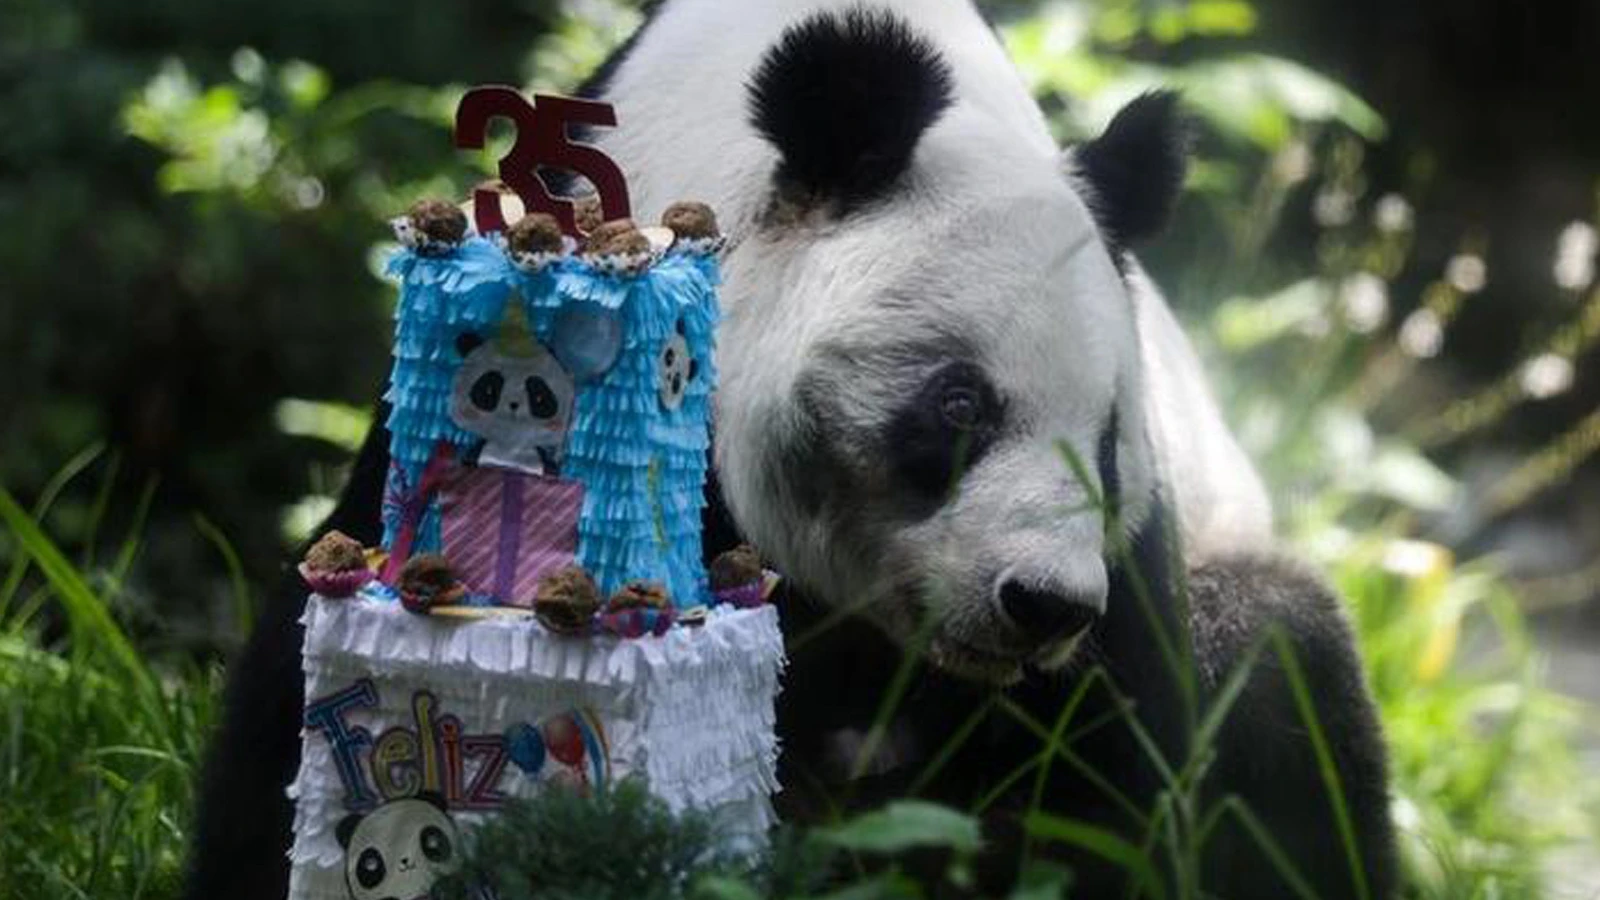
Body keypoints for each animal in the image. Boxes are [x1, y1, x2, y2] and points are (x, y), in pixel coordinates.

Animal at [184, 3, 1396, 899]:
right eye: (960, 407)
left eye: (1103, 444)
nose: (1044, 606)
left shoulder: (1133, 575)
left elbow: (1119, 790)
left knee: (1284, 671)